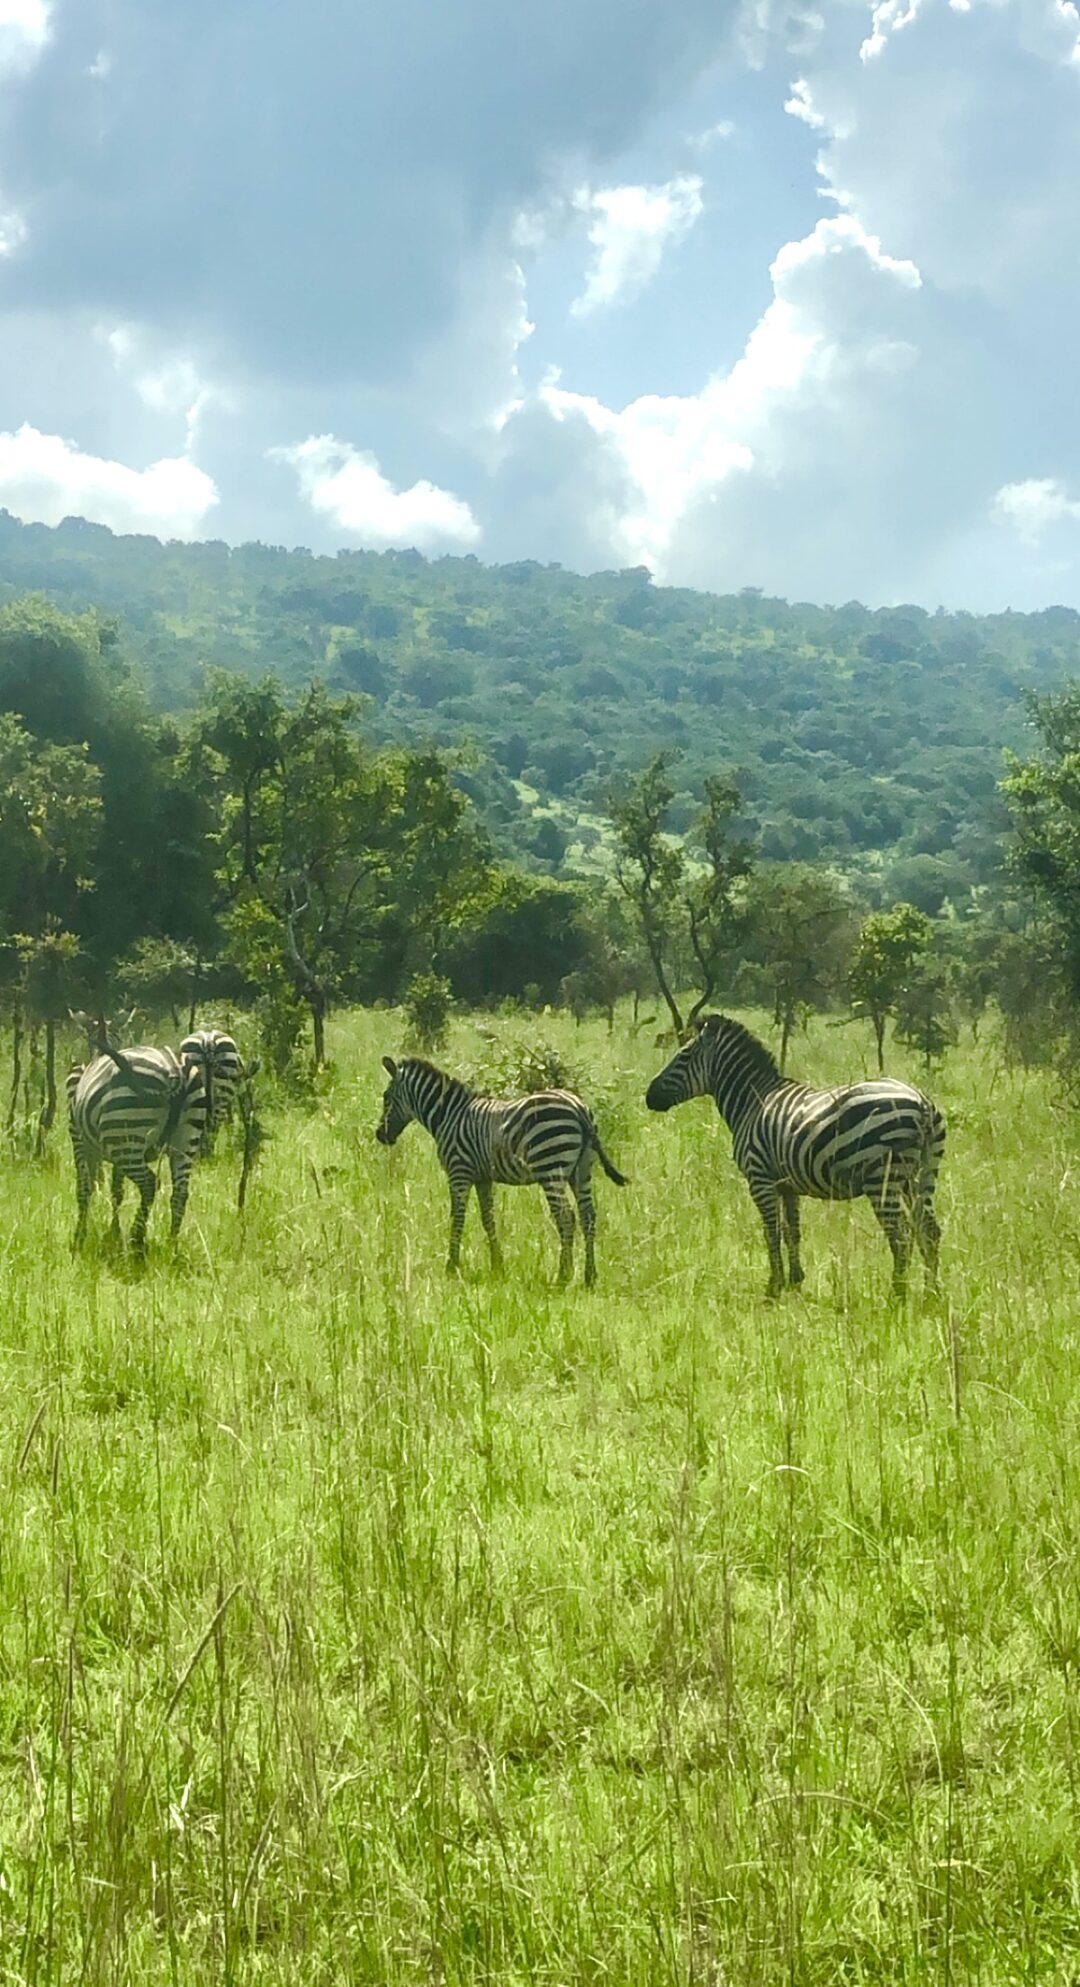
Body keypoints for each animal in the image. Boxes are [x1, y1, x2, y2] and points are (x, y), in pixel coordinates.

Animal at [375, 1057, 627, 1287]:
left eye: (386, 1097)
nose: (380, 1136)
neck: (448, 1115)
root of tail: (579, 1107)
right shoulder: (483, 1178)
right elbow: (488, 1219)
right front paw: (497, 1265)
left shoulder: (459, 1172)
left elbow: (458, 1217)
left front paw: (452, 1266)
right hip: (582, 1169)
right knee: (588, 1216)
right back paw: (590, 1276)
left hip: (550, 1166)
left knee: (566, 1216)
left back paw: (563, 1276)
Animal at [643, 1009, 945, 1303]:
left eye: (683, 1056)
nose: (648, 1097)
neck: (751, 1103)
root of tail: (921, 1101)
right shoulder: (787, 1184)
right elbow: (792, 1232)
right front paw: (795, 1281)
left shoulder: (760, 1179)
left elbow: (771, 1232)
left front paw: (773, 1287)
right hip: (920, 1174)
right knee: (929, 1230)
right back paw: (931, 1295)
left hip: (882, 1177)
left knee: (901, 1237)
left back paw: (897, 1297)